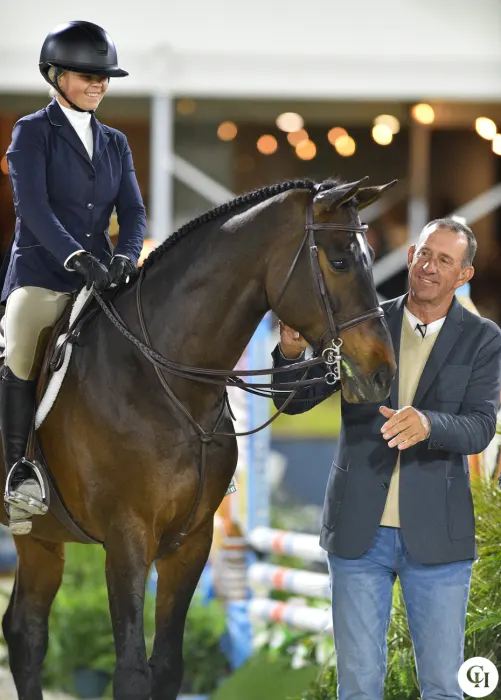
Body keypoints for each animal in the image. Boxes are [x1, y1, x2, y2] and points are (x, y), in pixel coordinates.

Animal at [0, 176, 397, 700]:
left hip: (40, 533)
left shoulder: (191, 541)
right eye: (340, 262)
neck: (161, 377)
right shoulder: (127, 537)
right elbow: (132, 673)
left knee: (26, 631)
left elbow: (168, 665)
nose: (382, 375)